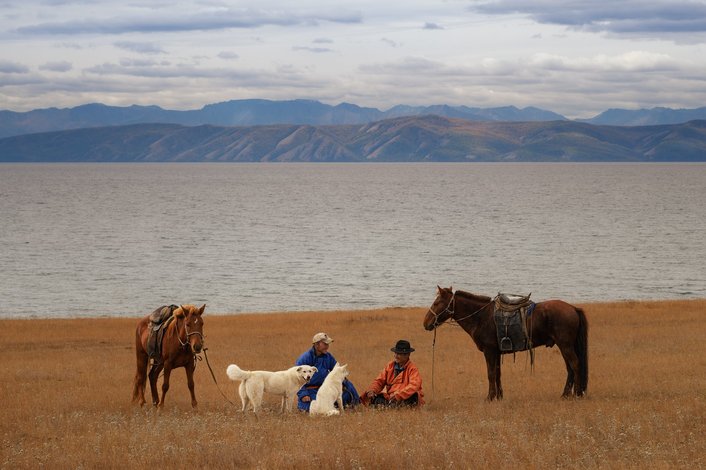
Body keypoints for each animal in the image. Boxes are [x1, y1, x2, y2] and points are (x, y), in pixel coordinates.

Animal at [420, 286, 584, 400]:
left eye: (436, 303)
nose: (425, 323)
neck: (481, 316)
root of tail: (573, 308)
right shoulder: (497, 352)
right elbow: (498, 373)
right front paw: (499, 396)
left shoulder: (489, 351)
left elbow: (491, 373)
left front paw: (490, 397)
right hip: (564, 346)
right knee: (570, 368)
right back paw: (565, 394)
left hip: (565, 346)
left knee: (575, 365)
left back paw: (577, 394)